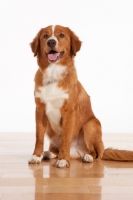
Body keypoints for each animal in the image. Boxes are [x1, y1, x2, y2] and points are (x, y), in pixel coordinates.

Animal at [28, 25, 133, 167]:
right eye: (45, 36)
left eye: (61, 35)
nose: (51, 42)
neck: (53, 74)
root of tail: (77, 152)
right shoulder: (40, 110)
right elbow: (39, 137)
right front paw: (36, 156)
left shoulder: (69, 113)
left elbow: (66, 138)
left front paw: (63, 160)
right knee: (56, 150)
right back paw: (48, 154)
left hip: (91, 125)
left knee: (96, 154)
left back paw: (87, 157)